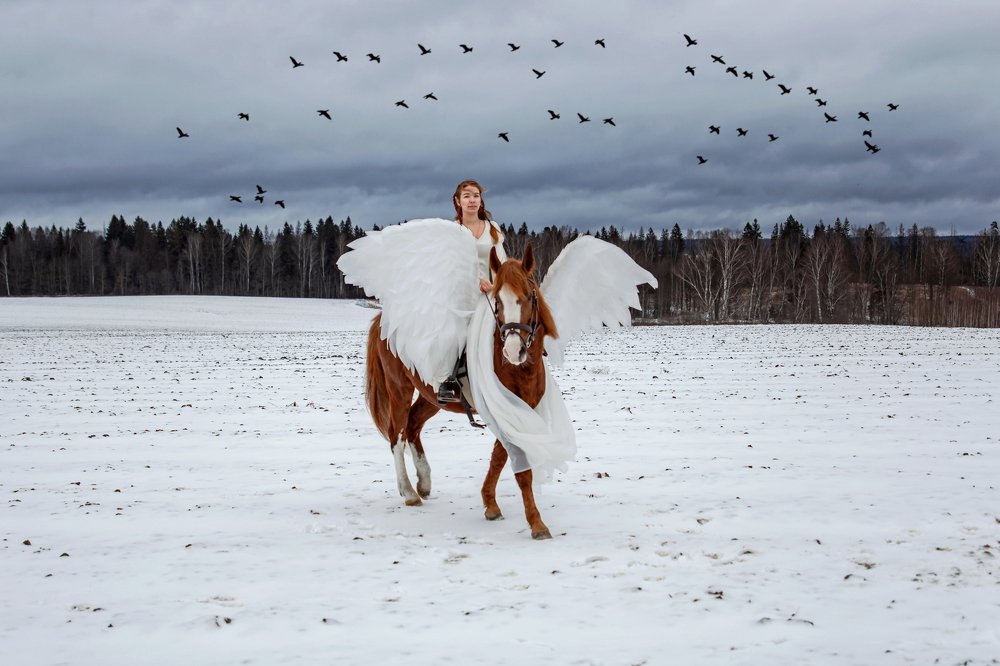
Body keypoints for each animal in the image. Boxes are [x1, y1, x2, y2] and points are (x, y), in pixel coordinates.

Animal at [364, 244, 559, 539]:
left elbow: (499, 457)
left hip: (432, 398)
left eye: (529, 296)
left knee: (412, 426)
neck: (519, 369)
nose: (513, 351)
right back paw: (409, 492)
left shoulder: (518, 412)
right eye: (497, 302)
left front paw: (490, 504)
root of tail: (382, 319)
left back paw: (424, 481)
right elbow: (518, 467)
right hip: (399, 389)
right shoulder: (504, 414)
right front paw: (537, 524)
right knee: (396, 435)